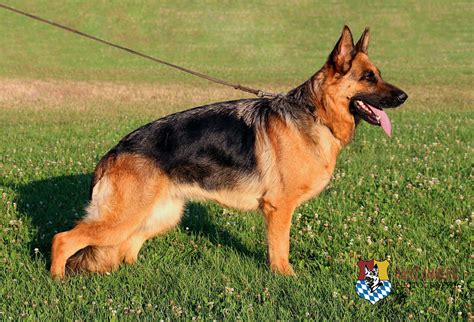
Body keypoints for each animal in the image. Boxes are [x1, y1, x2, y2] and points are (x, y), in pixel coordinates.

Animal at [51, 26, 408, 280]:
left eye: (378, 74)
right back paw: (57, 283)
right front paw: (286, 278)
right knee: (63, 239)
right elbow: (280, 251)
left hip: (159, 216)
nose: (404, 96)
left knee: (127, 248)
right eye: (368, 78)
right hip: (123, 218)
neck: (315, 113)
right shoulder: (279, 209)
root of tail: (110, 156)